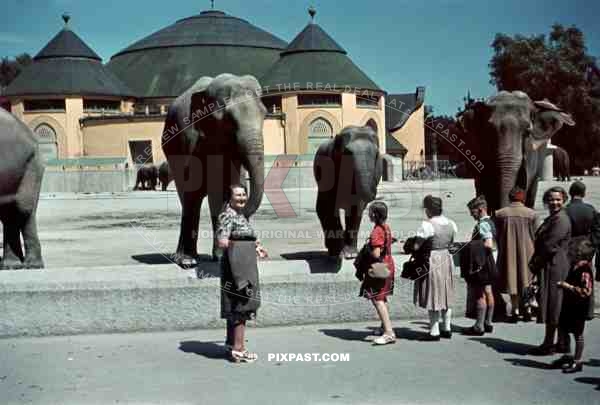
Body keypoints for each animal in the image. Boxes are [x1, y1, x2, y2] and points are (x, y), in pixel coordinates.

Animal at [164, 73, 268, 268]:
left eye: (265, 114)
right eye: (228, 120)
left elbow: (233, 180)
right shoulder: (193, 135)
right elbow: (211, 188)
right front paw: (218, 256)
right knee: (189, 197)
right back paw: (187, 259)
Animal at [312, 124, 382, 258]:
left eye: (377, 154)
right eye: (348, 153)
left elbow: (356, 209)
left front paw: (350, 254)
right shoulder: (328, 170)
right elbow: (329, 208)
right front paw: (338, 251)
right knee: (322, 209)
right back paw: (332, 249)